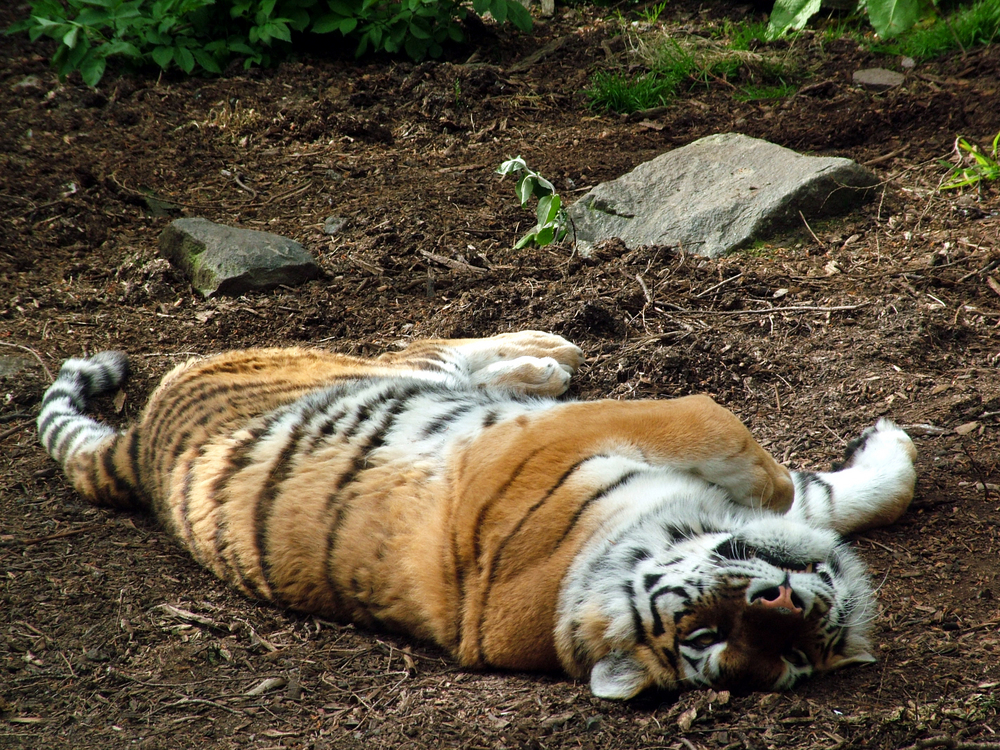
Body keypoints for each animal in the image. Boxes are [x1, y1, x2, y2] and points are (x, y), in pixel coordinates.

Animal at [37, 332, 916, 704]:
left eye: (795, 654)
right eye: (706, 636)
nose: (786, 602)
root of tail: (136, 444)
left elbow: (818, 497)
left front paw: (886, 459)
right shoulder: (596, 431)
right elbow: (751, 456)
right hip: (370, 369)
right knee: (436, 343)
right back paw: (547, 354)